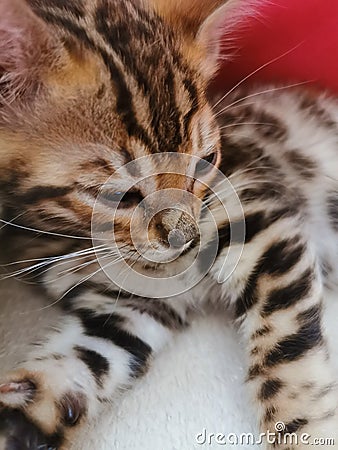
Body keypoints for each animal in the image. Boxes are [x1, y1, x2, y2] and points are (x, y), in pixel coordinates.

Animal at [0, 0, 338, 448]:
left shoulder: (260, 214)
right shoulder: (129, 306)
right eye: (123, 195)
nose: (187, 239)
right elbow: (69, 370)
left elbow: (289, 347)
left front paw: (306, 429)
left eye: (207, 162)